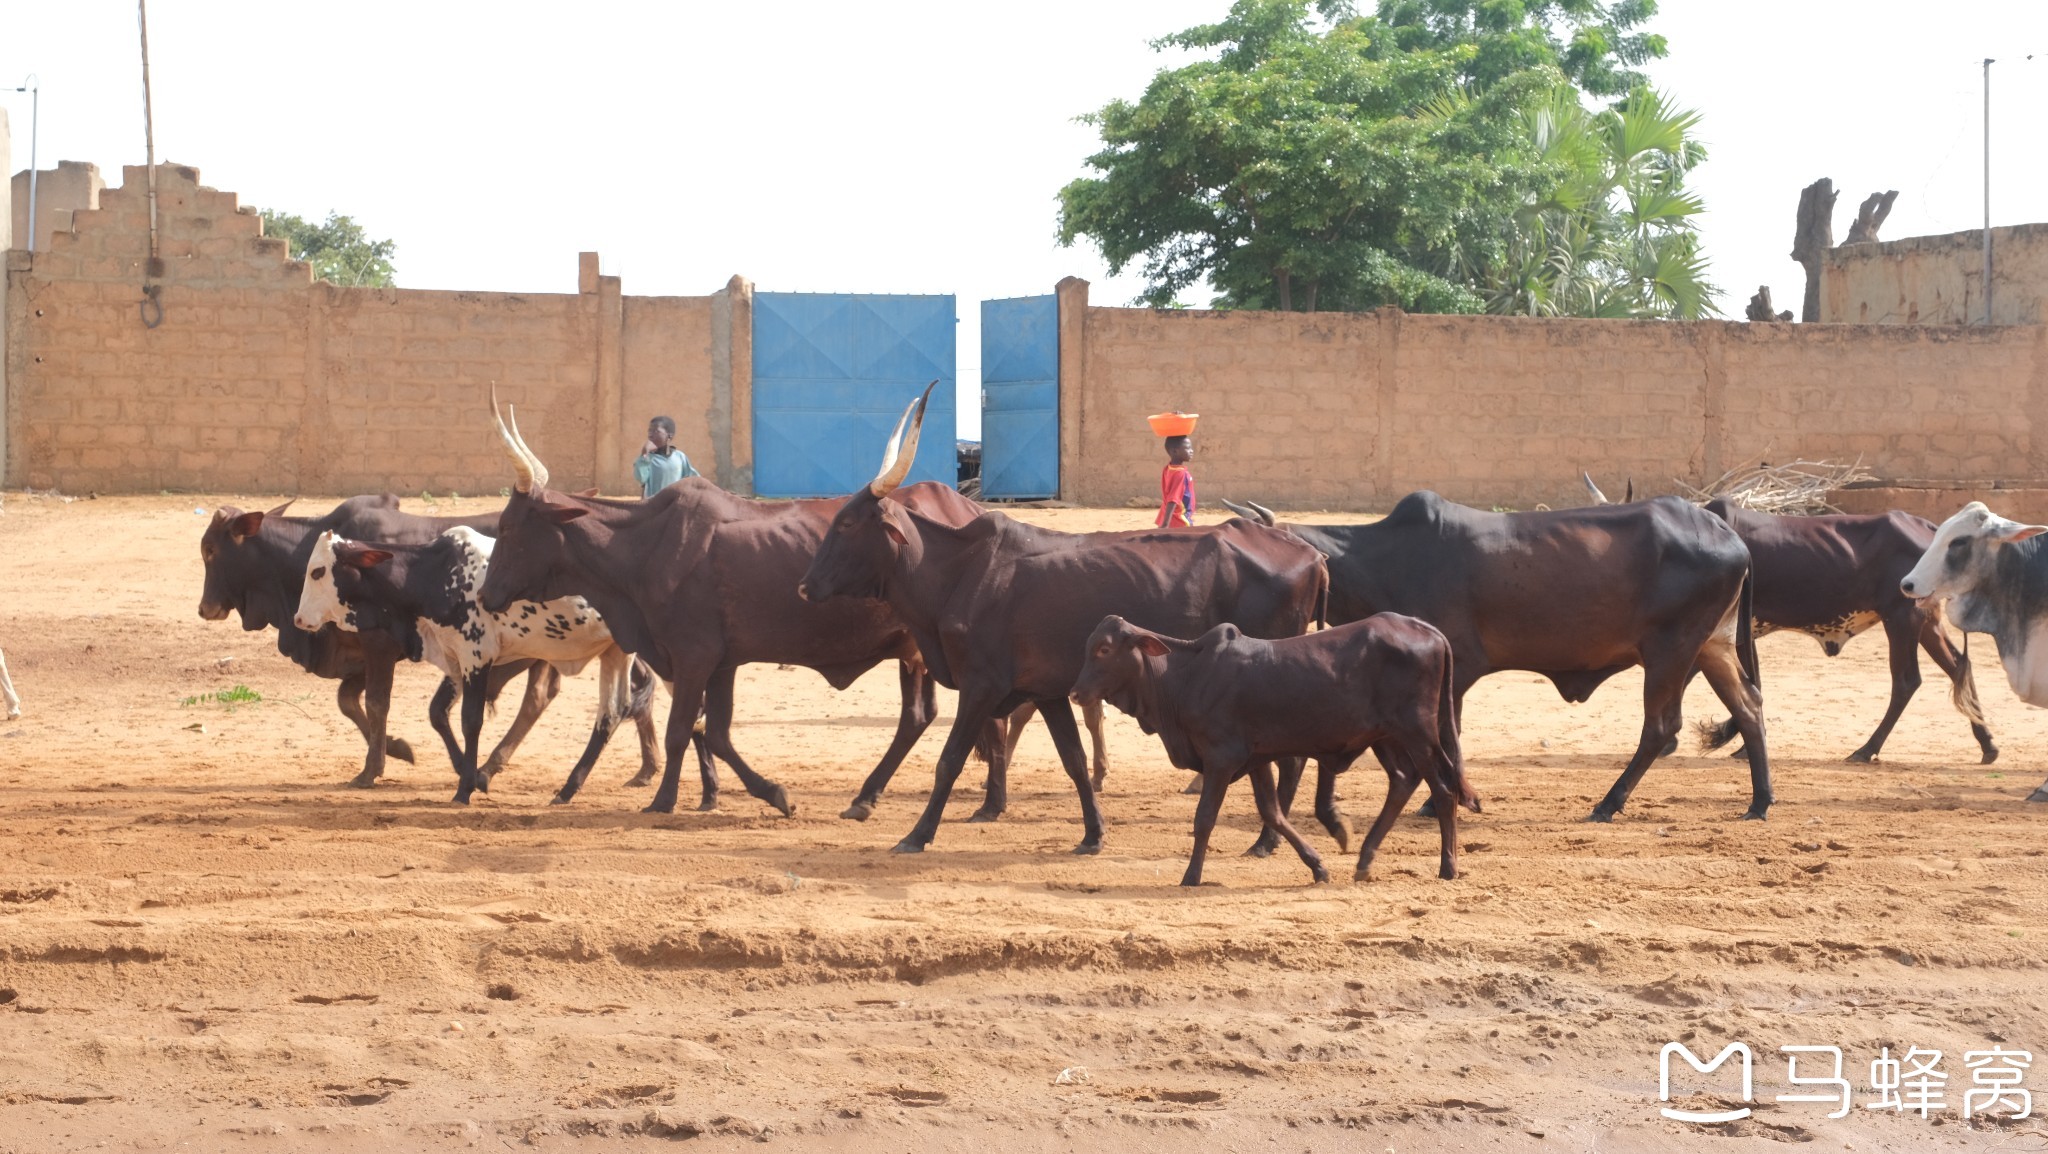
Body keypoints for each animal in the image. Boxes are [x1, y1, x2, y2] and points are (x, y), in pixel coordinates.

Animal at [196, 496, 557, 787]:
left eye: (211, 550)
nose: (205, 608)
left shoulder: (379, 646)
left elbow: (376, 703)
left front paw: (372, 768)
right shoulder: (360, 653)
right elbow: (348, 701)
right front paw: (396, 748)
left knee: (533, 699)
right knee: (537, 698)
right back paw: (490, 765)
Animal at [790, 387, 1318, 856]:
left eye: (847, 524)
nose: (805, 587)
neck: (962, 572)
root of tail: (1307, 550)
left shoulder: (981, 686)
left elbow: (949, 761)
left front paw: (917, 835)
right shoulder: (1046, 691)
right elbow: (1075, 761)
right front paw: (1093, 834)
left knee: (1289, 759)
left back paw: (1266, 841)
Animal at [1073, 619, 1474, 889]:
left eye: (1104, 650)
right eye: (1089, 647)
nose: (1076, 693)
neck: (1184, 678)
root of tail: (1428, 630)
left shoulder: (1221, 759)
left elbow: (1205, 819)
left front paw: (1191, 875)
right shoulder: (1256, 760)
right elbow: (1273, 812)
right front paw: (1317, 866)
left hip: (1417, 733)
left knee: (1443, 790)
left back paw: (1448, 867)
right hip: (1385, 736)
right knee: (1403, 782)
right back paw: (1364, 858)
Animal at [1220, 493, 1769, 819]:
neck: (1383, 558)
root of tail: (1731, 536)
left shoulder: (1453, 666)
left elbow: (1448, 734)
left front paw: (1450, 799)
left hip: (1671, 648)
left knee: (1661, 727)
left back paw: (1608, 803)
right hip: (1712, 645)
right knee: (1749, 708)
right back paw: (1760, 802)